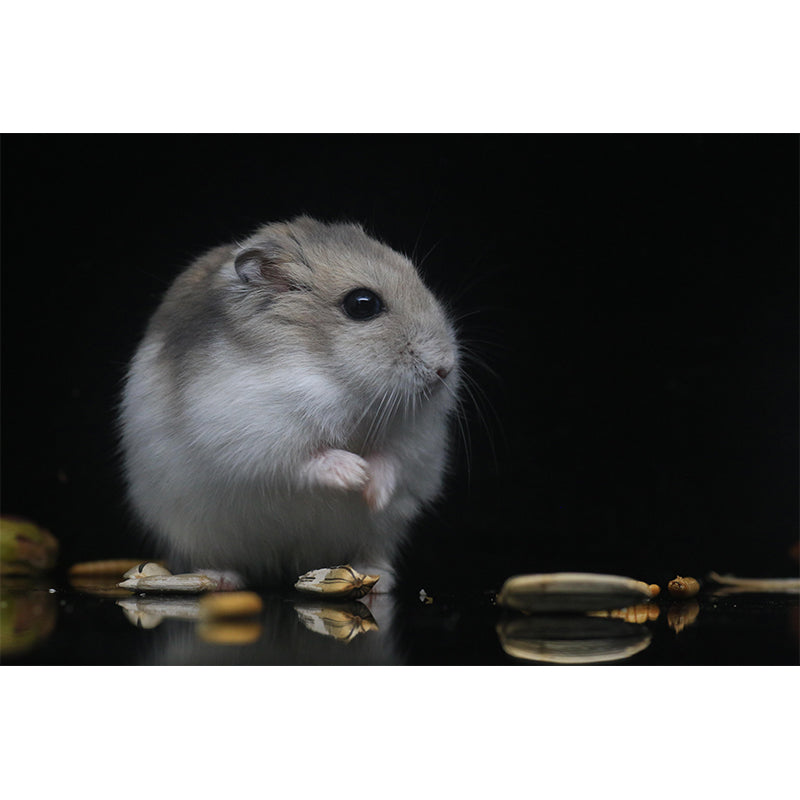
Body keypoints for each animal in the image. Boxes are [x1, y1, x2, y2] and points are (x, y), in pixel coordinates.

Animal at [119, 216, 460, 591]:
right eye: (362, 303)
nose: (445, 368)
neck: (335, 376)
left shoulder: (417, 440)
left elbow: (393, 458)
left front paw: (374, 491)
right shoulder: (254, 436)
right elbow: (304, 460)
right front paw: (355, 473)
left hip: (379, 532)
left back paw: (378, 580)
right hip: (195, 529)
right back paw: (219, 579)